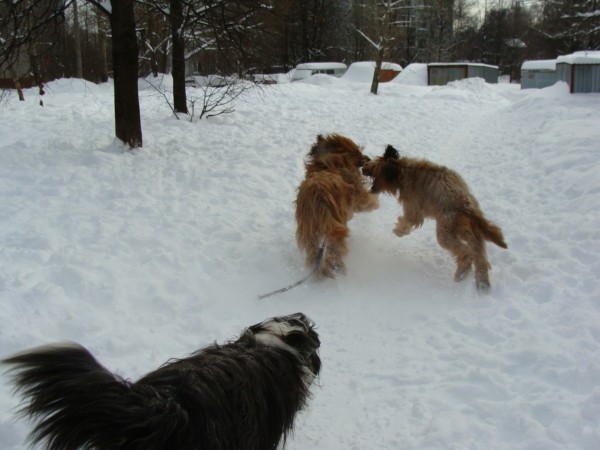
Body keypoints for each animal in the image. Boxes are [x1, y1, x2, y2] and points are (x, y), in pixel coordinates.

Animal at [296, 133, 380, 278]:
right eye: (359, 151)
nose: (368, 158)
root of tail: (318, 196)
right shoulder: (359, 198)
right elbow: (369, 202)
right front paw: (376, 201)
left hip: (309, 231)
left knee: (313, 251)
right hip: (335, 230)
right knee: (333, 251)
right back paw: (336, 267)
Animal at [360, 145, 506, 292]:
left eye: (374, 167)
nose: (363, 167)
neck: (401, 169)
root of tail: (466, 206)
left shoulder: (413, 208)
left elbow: (409, 220)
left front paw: (398, 231)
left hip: (445, 231)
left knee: (466, 252)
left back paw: (462, 271)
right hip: (470, 232)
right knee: (479, 256)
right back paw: (481, 283)